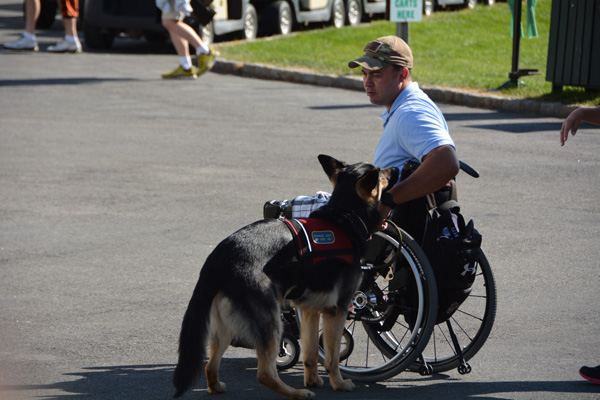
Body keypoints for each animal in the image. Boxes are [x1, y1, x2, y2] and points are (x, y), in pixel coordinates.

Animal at [173, 155, 398, 400]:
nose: (397, 168)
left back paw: (216, 386)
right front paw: (338, 384)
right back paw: (296, 393)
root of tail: (218, 258)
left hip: (226, 326)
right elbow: (332, 358)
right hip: (271, 320)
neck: (345, 215)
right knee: (264, 373)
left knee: (210, 364)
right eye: (382, 172)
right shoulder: (337, 310)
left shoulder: (309, 311)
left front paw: (313, 380)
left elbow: (311, 353)